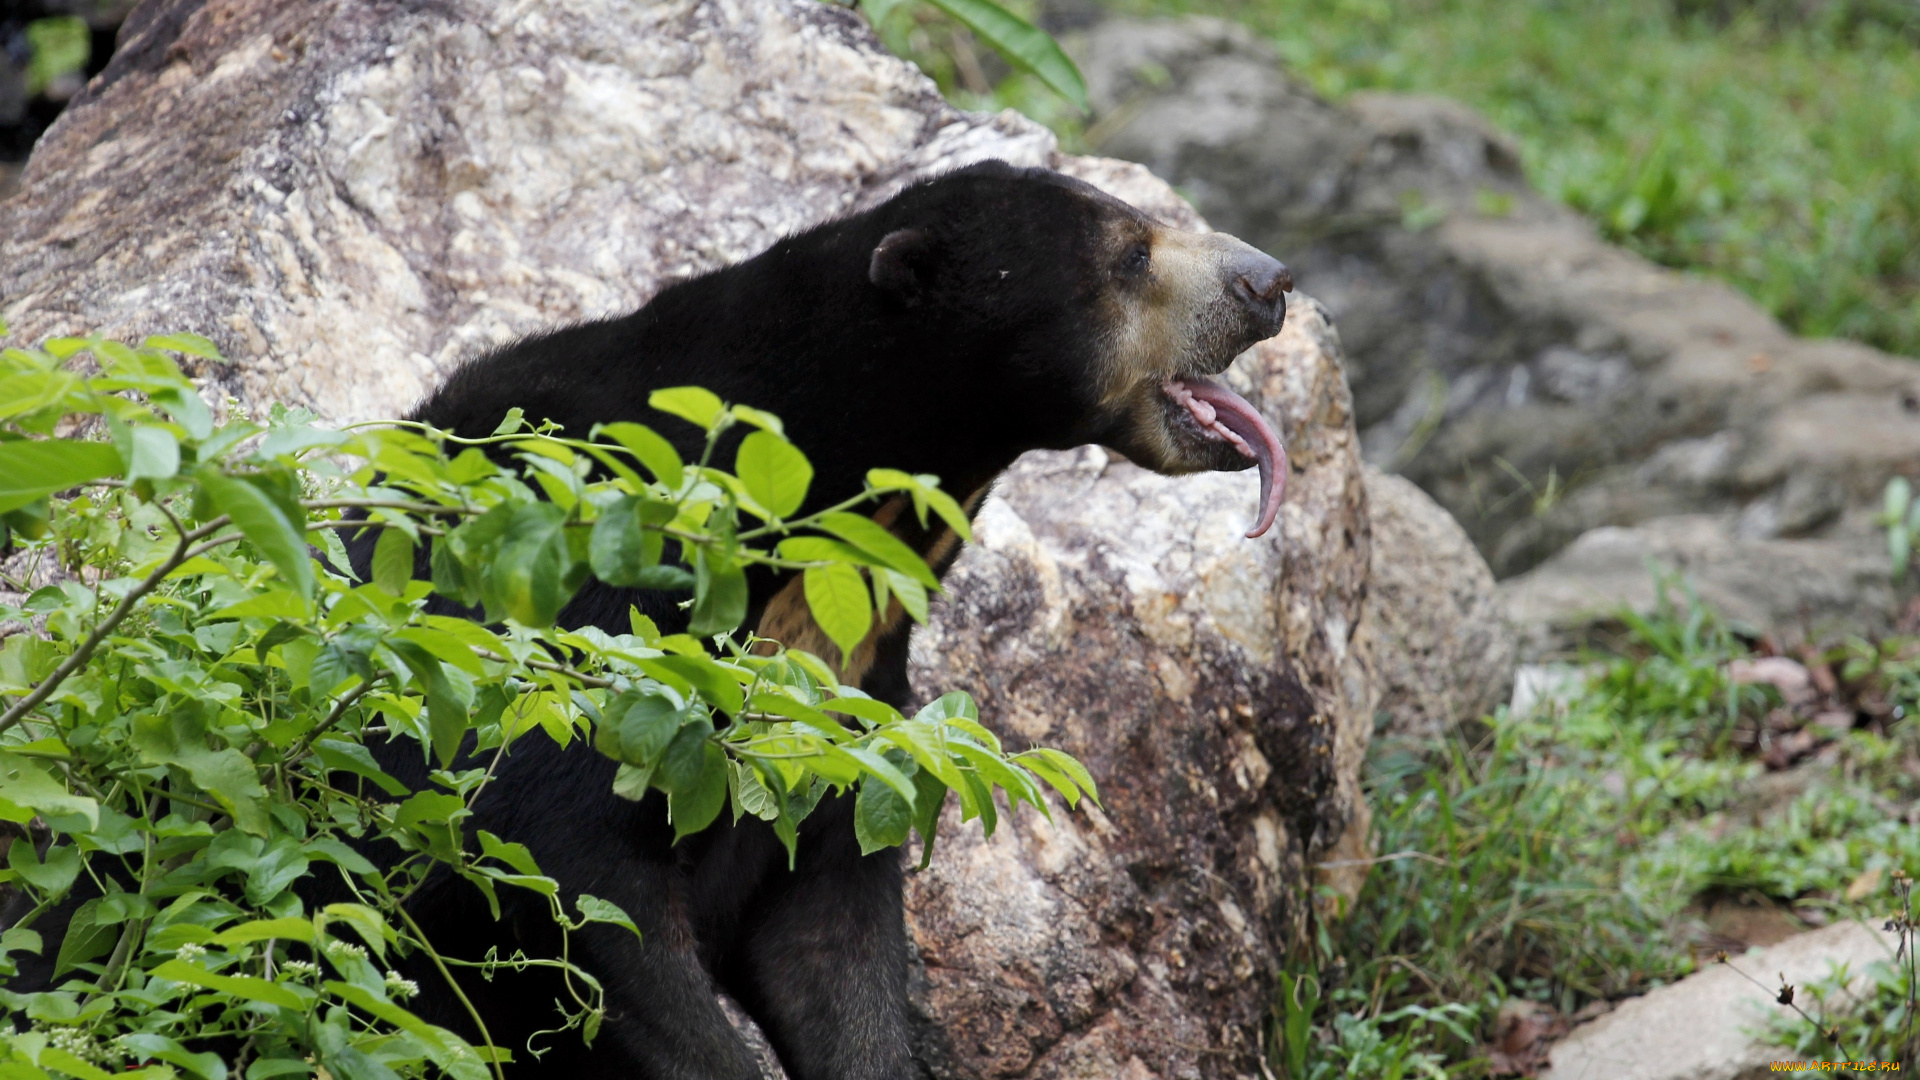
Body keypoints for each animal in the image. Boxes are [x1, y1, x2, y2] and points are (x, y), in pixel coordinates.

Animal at [3, 159, 1290, 1076]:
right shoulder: (575, 619)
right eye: (1131, 250)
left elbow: (831, 941)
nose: (1270, 282)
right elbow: (570, 876)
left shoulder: (848, 706)